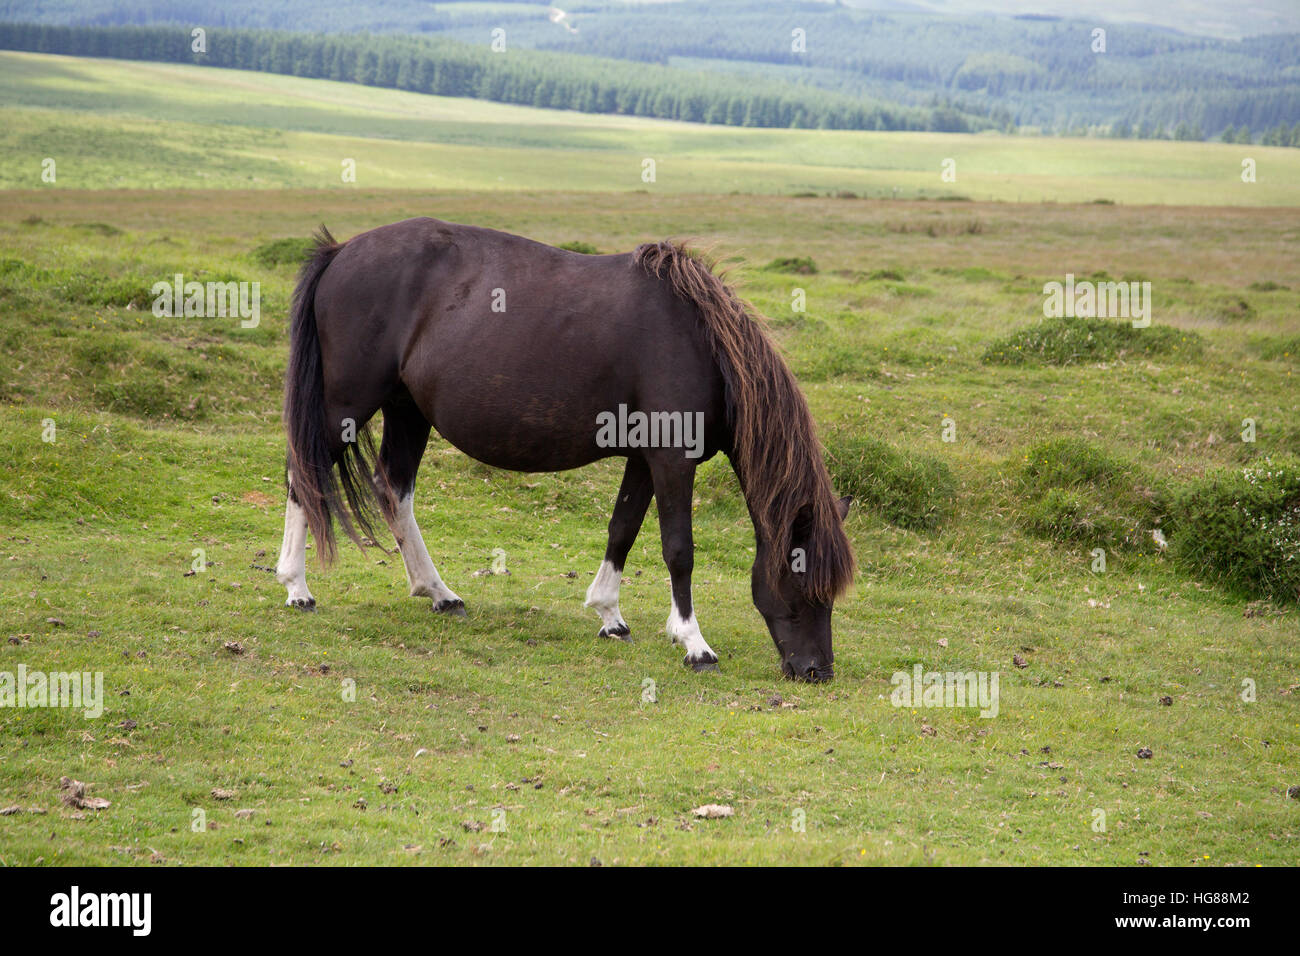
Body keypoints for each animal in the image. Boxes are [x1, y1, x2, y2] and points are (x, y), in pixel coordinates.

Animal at [274, 218, 855, 681]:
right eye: (803, 577)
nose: (816, 671)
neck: (699, 341)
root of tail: (341, 251)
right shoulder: (672, 458)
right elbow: (679, 549)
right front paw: (694, 643)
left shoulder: (643, 458)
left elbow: (622, 530)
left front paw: (610, 617)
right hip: (346, 404)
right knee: (304, 476)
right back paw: (297, 588)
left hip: (407, 410)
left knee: (394, 491)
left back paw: (439, 593)